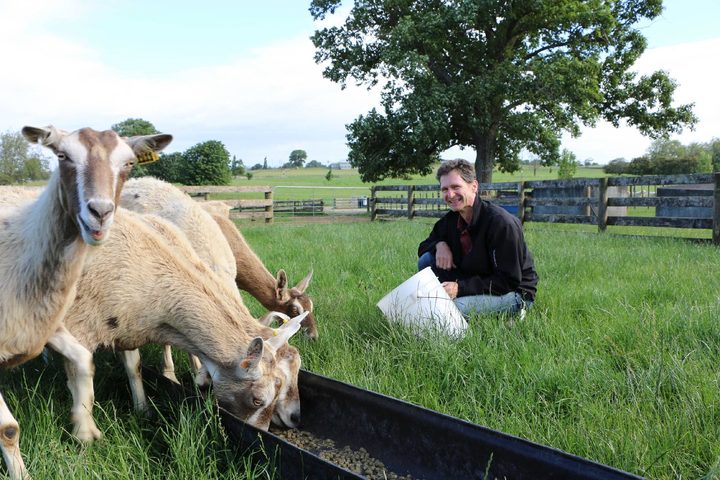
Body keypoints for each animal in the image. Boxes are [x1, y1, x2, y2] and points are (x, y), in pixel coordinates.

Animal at [0, 125, 172, 480]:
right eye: (62, 156)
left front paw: (84, 429)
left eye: (129, 164)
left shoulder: (47, 325)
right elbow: (8, 429)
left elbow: (83, 360)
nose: (101, 213)